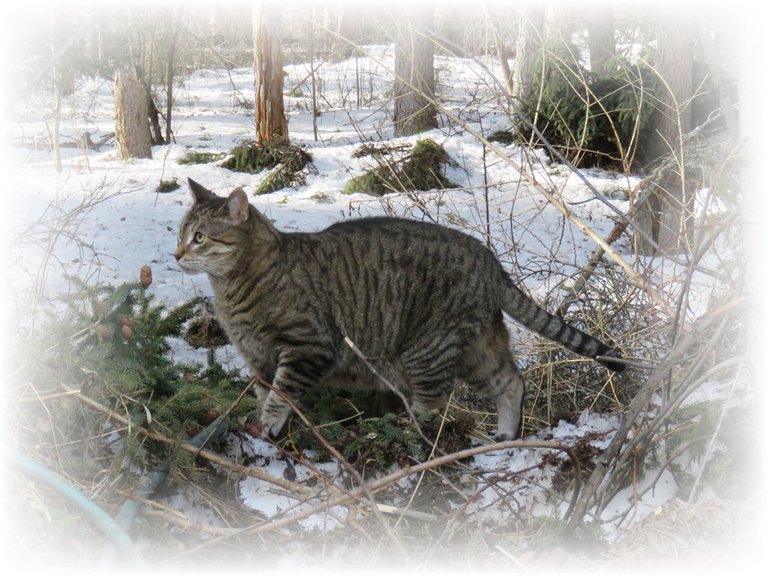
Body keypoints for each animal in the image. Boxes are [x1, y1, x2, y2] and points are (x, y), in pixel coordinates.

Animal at [176, 180, 624, 440]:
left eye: (200, 237)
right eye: (181, 233)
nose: (176, 254)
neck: (233, 289)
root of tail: (489, 260)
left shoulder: (308, 347)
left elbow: (279, 395)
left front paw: (268, 425)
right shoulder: (257, 359)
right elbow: (262, 391)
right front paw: (256, 421)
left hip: (426, 351)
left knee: (434, 402)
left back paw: (406, 429)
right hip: (478, 351)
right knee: (512, 382)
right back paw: (504, 438)